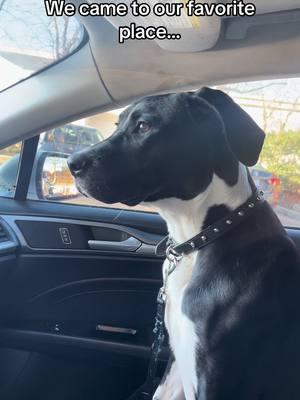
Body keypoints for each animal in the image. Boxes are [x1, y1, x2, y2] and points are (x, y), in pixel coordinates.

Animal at [69, 88, 300, 400]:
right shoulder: (178, 365)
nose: (71, 163)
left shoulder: (216, 381)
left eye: (143, 126)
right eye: (117, 124)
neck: (200, 239)